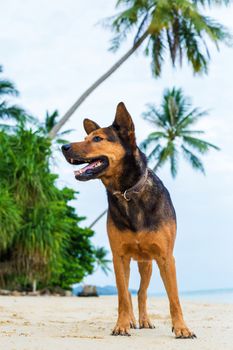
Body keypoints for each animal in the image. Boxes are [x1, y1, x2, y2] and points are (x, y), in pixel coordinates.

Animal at [61, 102, 196, 338]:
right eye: (86, 137)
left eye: (97, 139)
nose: (63, 147)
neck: (127, 192)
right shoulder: (119, 257)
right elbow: (123, 296)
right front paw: (122, 324)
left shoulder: (165, 257)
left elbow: (174, 298)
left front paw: (181, 328)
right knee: (127, 294)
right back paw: (132, 320)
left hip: (147, 263)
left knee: (141, 293)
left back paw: (144, 320)